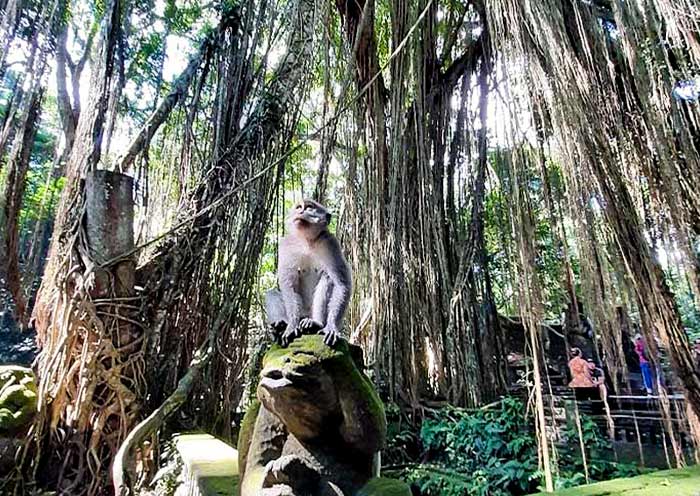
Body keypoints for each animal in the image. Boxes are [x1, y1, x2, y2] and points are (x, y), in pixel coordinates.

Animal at [265, 199, 352, 347]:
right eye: (299, 207)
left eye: (309, 207)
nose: (301, 211)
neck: (307, 240)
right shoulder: (287, 245)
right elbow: (288, 286)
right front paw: (292, 325)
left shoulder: (330, 242)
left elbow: (342, 284)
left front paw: (331, 326)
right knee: (271, 293)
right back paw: (280, 325)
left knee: (328, 278)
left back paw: (316, 323)